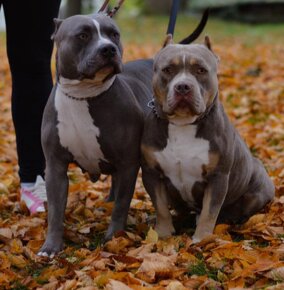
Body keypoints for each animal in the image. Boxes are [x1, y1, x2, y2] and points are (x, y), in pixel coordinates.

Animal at [142, 34, 276, 242]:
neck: (183, 125)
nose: (183, 86)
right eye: (168, 69)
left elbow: (209, 211)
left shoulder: (217, 176)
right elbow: (161, 207)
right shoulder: (151, 173)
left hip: (258, 188)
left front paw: (202, 239)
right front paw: (162, 234)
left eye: (201, 70)